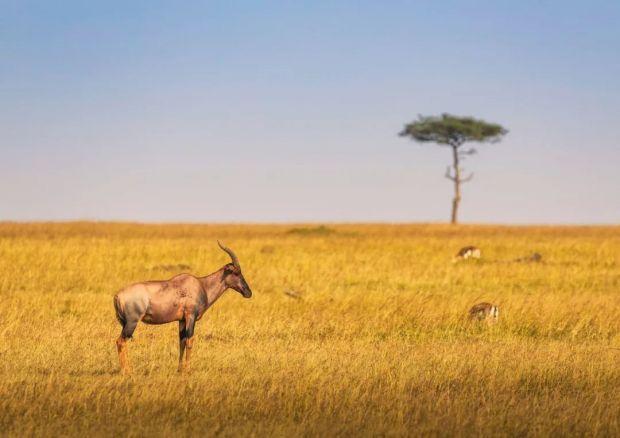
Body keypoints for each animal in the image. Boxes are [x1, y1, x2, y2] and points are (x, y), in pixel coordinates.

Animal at [114, 241, 252, 372]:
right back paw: (127, 371)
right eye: (236, 272)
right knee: (120, 341)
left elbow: (182, 341)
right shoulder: (191, 316)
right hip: (132, 322)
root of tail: (117, 295)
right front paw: (187, 370)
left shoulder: (181, 320)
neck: (201, 285)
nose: (248, 292)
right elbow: (190, 340)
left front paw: (179, 369)